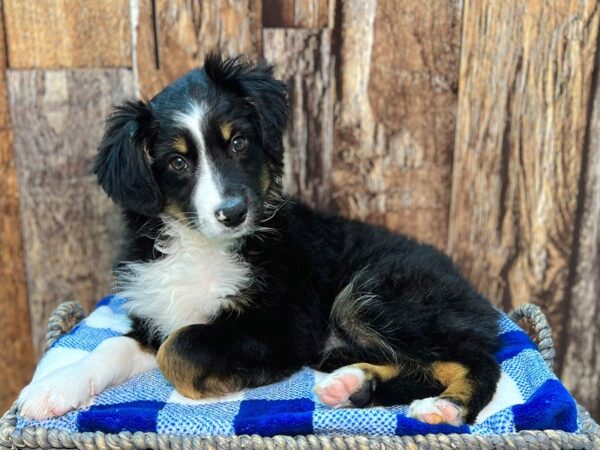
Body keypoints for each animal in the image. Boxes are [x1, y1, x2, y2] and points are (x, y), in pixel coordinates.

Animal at [17, 53, 502, 426]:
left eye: (239, 143)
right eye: (177, 162)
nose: (233, 213)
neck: (199, 245)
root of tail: (468, 287)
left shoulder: (282, 329)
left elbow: (179, 348)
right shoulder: (157, 316)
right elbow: (113, 345)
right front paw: (52, 388)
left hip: (375, 293)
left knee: (478, 360)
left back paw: (445, 408)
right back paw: (352, 385)